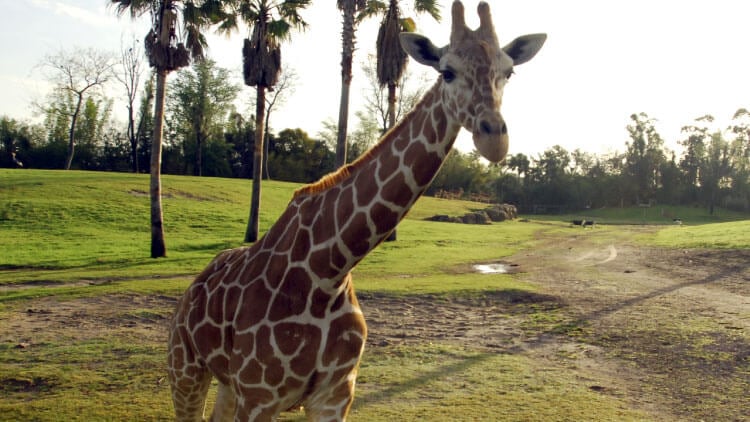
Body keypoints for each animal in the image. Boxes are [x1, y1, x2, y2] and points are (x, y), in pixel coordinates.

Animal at [167, 2, 545, 420]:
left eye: (508, 71)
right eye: (446, 71)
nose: (494, 138)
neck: (328, 270)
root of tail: (192, 287)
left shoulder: (335, 393)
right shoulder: (258, 396)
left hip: (226, 382)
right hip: (186, 369)